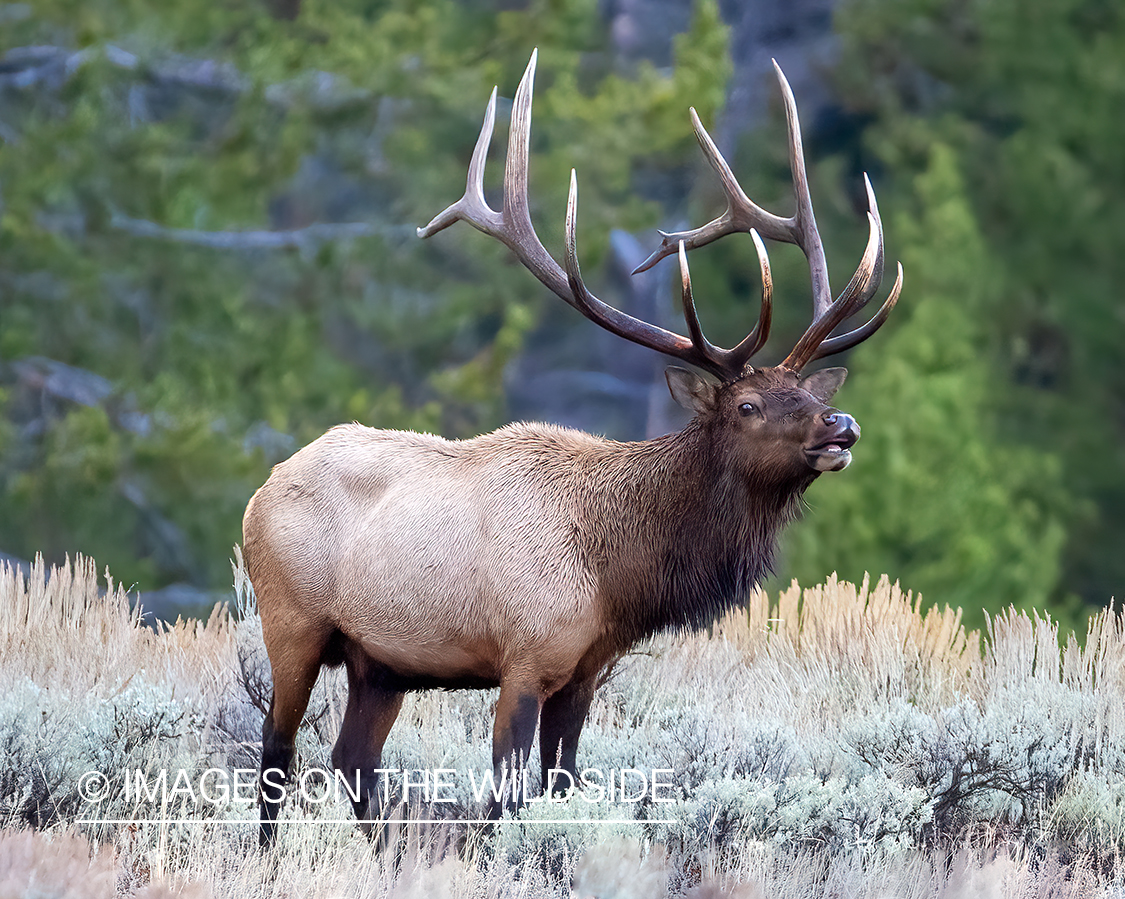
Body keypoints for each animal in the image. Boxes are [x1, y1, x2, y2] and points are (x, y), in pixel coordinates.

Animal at [244, 52, 895, 846]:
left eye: (804, 393)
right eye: (748, 406)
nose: (841, 425)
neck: (614, 572)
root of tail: (260, 490)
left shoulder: (585, 668)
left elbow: (563, 781)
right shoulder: (523, 655)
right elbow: (507, 794)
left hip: (380, 663)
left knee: (351, 760)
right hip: (292, 621)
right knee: (276, 753)